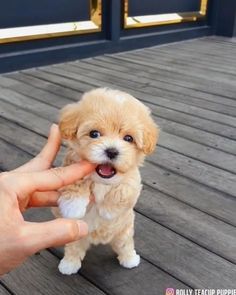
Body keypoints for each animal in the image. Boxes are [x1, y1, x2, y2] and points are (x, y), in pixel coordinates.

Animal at [55, 87, 159, 276]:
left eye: (128, 138)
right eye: (94, 134)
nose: (112, 151)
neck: (101, 181)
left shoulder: (132, 180)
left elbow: (123, 190)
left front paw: (108, 211)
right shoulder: (71, 166)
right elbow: (75, 183)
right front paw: (73, 207)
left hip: (123, 232)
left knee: (125, 245)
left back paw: (130, 259)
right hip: (78, 236)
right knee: (74, 249)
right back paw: (68, 264)